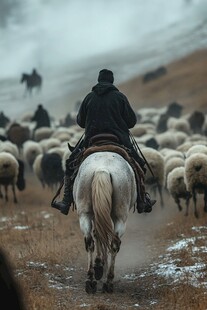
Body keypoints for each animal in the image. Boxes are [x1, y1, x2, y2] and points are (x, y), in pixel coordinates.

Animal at [73, 151, 137, 294]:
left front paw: (99, 265)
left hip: (85, 213)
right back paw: (108, 281)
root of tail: (102, 169)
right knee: (114, 245)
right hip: (120, 216)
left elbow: (98, 235)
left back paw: (91, 280)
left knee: (90, 242)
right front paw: (100, 265)